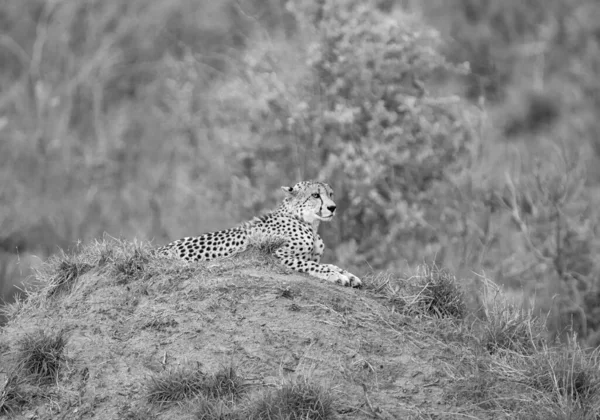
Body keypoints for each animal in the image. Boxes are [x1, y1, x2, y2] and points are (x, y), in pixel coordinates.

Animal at [155, 180, 360, 288]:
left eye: (330, 194)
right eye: (315, 195)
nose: (333, 207)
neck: (307, 222)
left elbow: (329, 264)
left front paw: (349, 275)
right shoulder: (275, 255)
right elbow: (315, 265)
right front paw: (338, 276)